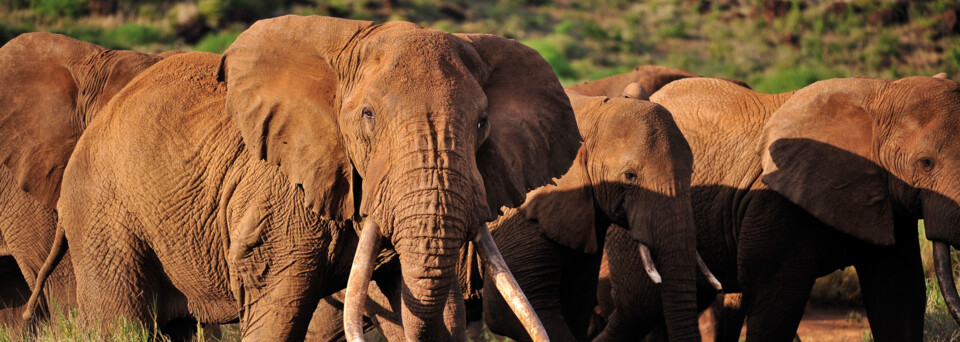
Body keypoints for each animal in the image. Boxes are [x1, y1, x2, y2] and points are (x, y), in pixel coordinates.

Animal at [24, 14, 576, 340]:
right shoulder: (277, 195)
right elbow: (279, 306)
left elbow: (412, 299)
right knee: (121, 321)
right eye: (368, 117)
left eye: (482, 123)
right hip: (102, 209)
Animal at [596, 73, 960, 340]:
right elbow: (776, 304)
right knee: (639, 310)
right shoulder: (776, 203)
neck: (882, 93)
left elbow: (899, 298)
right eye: (925, 163)